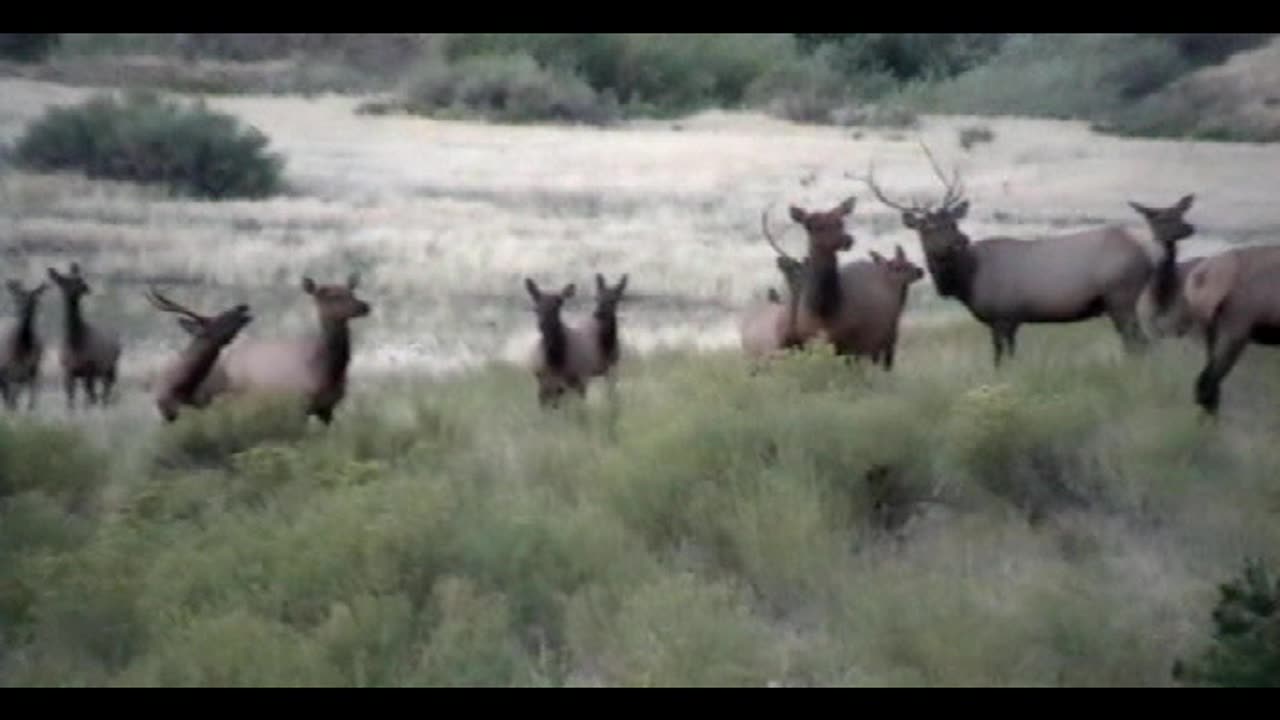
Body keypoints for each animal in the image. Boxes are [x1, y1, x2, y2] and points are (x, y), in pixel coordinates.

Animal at [0, 278, 48, 409]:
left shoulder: (34, 370)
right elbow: (13, 399)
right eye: (18, 299)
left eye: (34, 300)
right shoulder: (9, 370)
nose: (24, 311)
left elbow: (31, 401)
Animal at [524, 272, 629, 409]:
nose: (543, 325)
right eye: (536, 308)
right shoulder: (543, 382)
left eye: (558, 305)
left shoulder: (582, 377)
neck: (555, 360)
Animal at [860, 147, 1198, 366]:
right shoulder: (1005, 321)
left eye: (953, 223)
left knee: (1140, 344)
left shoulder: (1005, 317)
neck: (966, 282)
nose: (960, 241)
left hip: (1121, 297)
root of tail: (1147, 253)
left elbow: (1002, 361)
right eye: (928, 228)